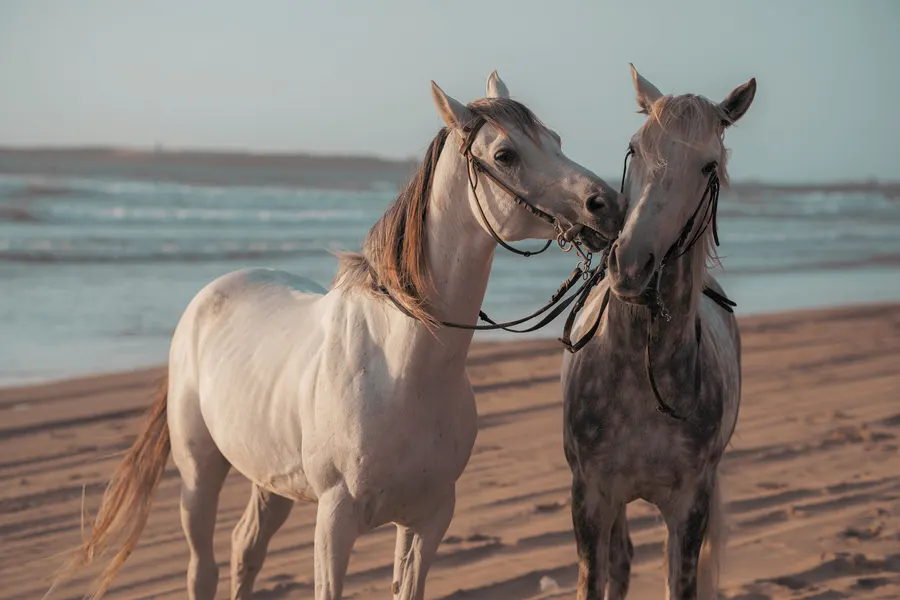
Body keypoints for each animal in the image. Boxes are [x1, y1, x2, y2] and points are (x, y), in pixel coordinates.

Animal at [50, 71, 627, 600]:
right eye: (505, 154)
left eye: (555, 138)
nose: (609, 205)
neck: (404, 370)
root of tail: (211, 294)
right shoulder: (335, 521)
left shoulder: (429, 518)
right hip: (199, 473)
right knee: (204, 567)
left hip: (271, 480)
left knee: (245, 549)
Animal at [561, 64, 756, 600]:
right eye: (634, 148)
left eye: (708, 167)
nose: (630, 265)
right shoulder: (591, 500)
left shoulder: (690, 510)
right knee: (622, 560)